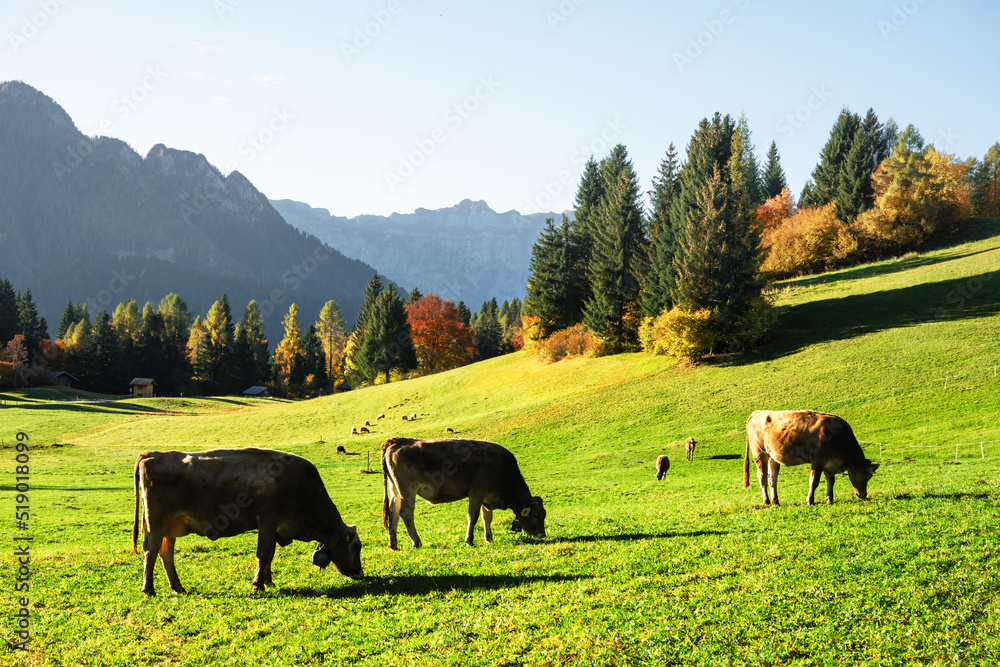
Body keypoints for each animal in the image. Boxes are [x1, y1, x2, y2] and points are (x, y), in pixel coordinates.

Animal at [133, 448, 364, 596]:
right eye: (356, 547)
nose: (360, 574)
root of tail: (153, 454)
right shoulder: (268, 519)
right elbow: (264, 553)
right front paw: (258, 585)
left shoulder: (274, 526)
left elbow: (270, 554)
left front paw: (268, 581)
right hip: (157, 523)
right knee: (151, 552)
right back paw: (149, 589)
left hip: (171, 528)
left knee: (166, 554)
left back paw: (177, 587)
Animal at [378, 438, 548, 548]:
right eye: (535, 515)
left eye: (543, 515)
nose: (543, 535)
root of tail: (397, 441)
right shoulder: (477, 492)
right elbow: (473, 517)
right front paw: (469, 540)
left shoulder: (486, 496)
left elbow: (487, 517)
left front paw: (488, 538)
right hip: (407, 490)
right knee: (406, 514)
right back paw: (416, 541)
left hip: (395, 490)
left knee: (393, 513)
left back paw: (393, 544)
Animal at [744, 410, 884, 508]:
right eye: (867, 475)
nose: (863, 495)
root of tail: (757, 413)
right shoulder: (817, 461)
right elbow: (814, 482)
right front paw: (810, 501)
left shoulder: (829, 463)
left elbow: (831, 481)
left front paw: (829, 499)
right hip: (759, 453)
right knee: (762, 477)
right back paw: (767, 501)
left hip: (773, 457)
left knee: (772, 479)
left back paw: (776, 502)